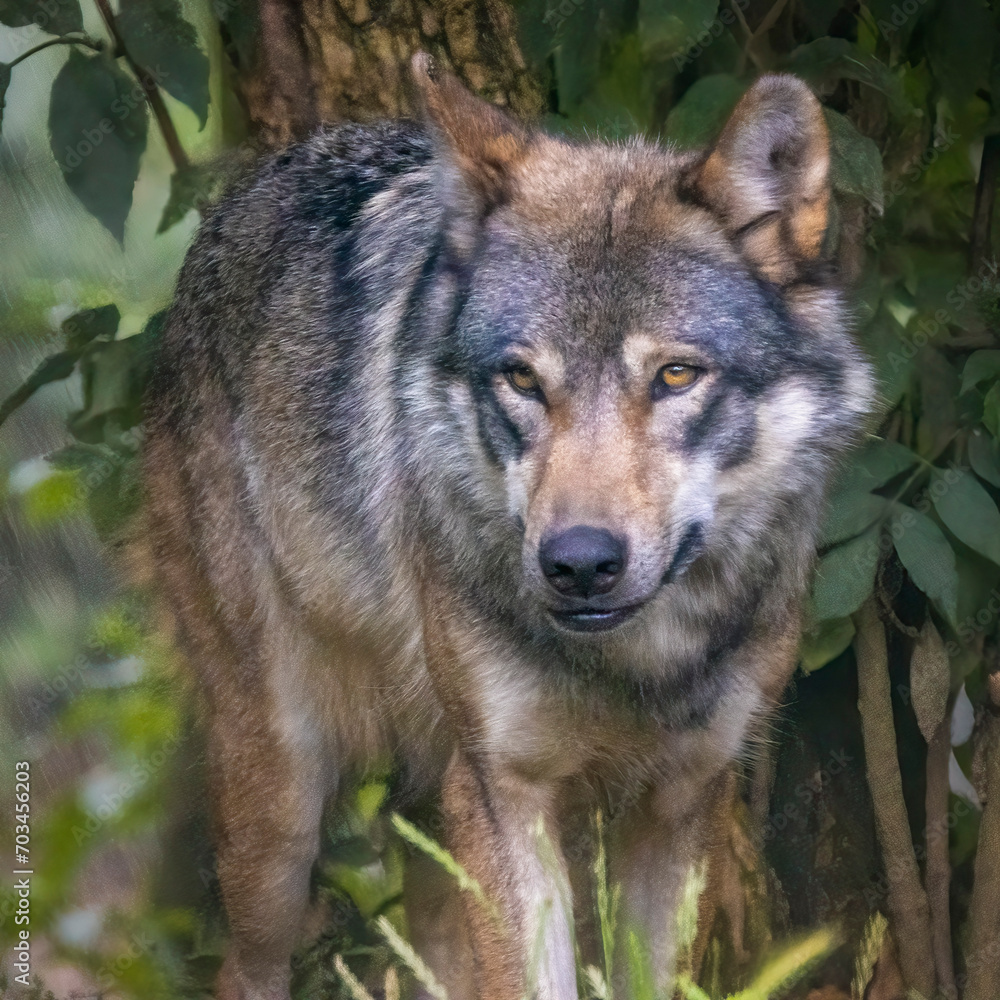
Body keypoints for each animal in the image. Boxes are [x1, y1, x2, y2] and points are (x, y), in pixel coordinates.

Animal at [144, 54, 874, 1000]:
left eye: (676, 376)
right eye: (522, 380)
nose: (580, 563)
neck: (635, 663)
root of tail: (246, 189)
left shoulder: (680, 800)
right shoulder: (502, 790)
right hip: (282, 806)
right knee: (246, 964)